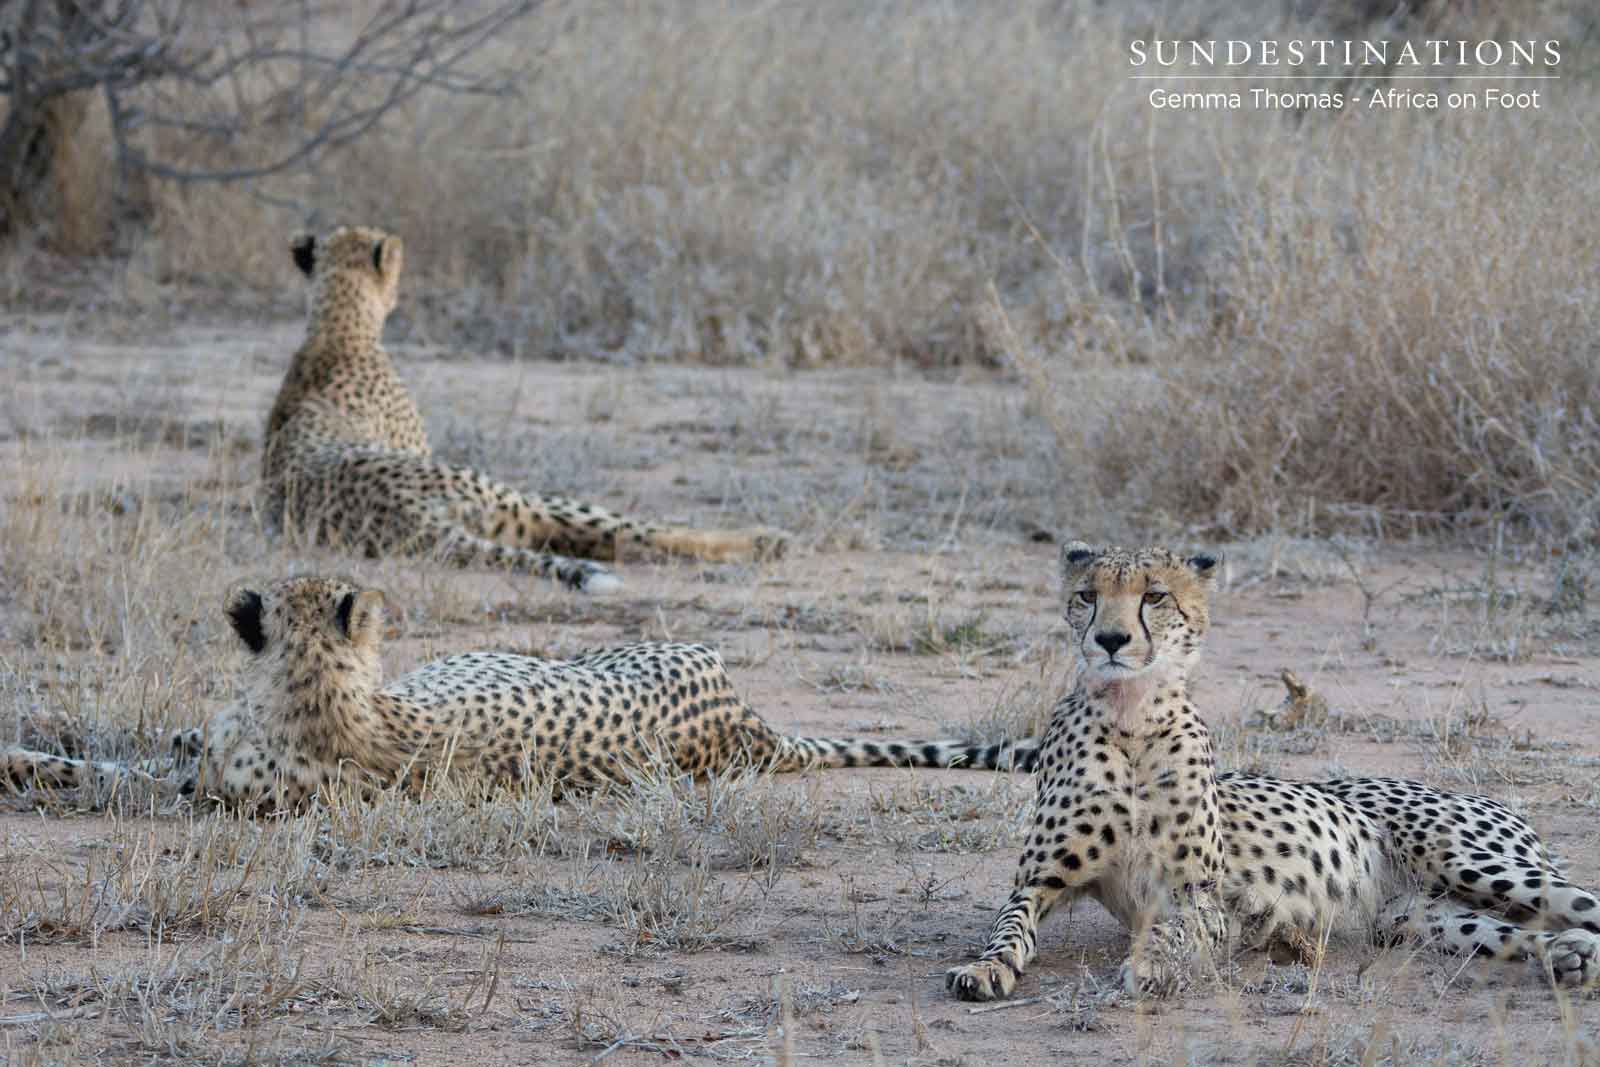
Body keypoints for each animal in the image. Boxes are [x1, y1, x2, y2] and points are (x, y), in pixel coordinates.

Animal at [263, 224, 787, 595]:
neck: (336, 326)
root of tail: (405, 517)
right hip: (515, 500)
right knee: (630, 533)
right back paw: (765, 539)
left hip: (505, 518)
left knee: (602, 540)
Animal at [944, 541, 1600, 1003]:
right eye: (1087, 595)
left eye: (1154, 596)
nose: (1109, 638)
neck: (1131, 717)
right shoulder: (1040, 880)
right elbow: (1008, 927)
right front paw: (983, 968)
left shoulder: (1197, 897)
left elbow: (1169, 933)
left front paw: (1149, 967)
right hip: (1418, 917)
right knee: (1521, 932)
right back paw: (1568, 955)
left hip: (1480, 865)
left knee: (1581, 902)